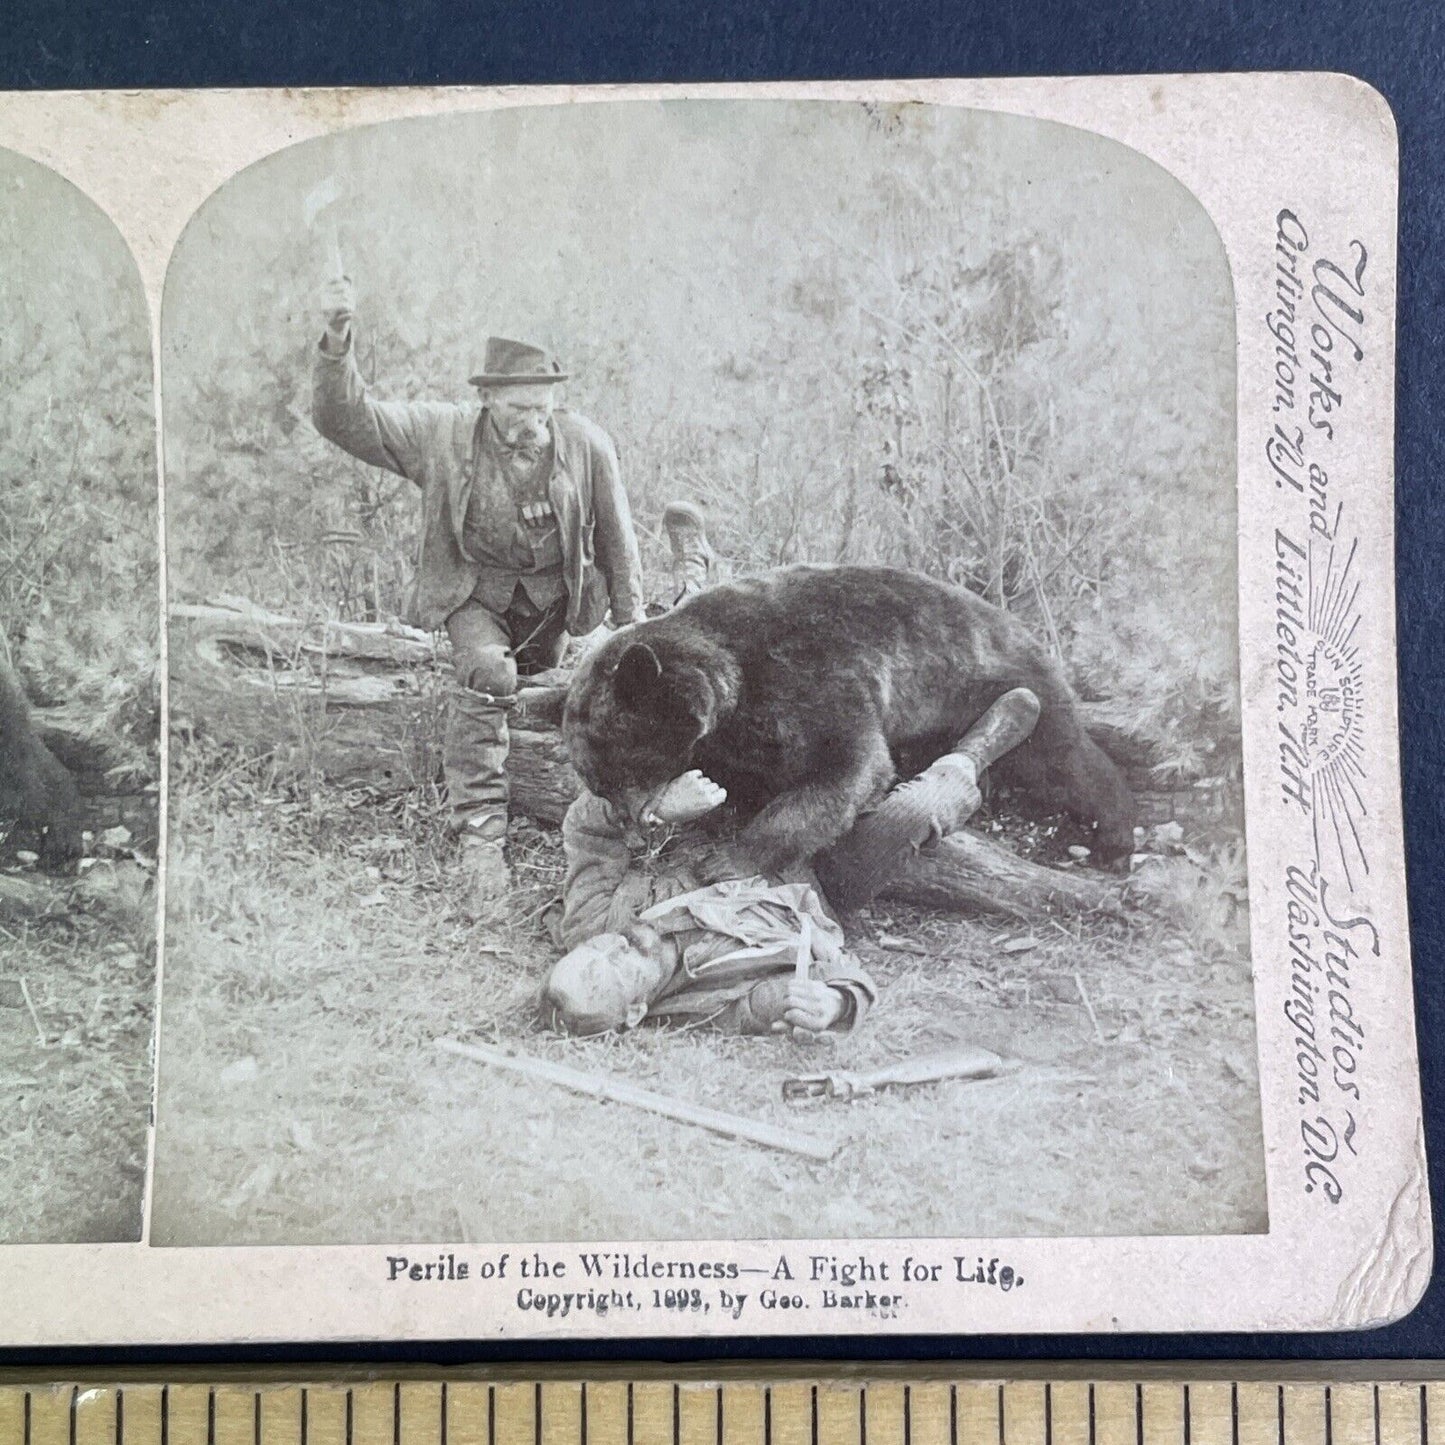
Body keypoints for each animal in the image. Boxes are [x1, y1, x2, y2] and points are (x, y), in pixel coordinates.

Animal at [563, 563, 1138, 872]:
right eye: (597, 781)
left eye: (623, 768)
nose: (629, 826)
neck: (731, 670)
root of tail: (1025, 629)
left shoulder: (813, 678)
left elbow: (845, 769)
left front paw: (729, 859)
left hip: (1000, 680)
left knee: (1064, 758)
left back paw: (1116, 837)